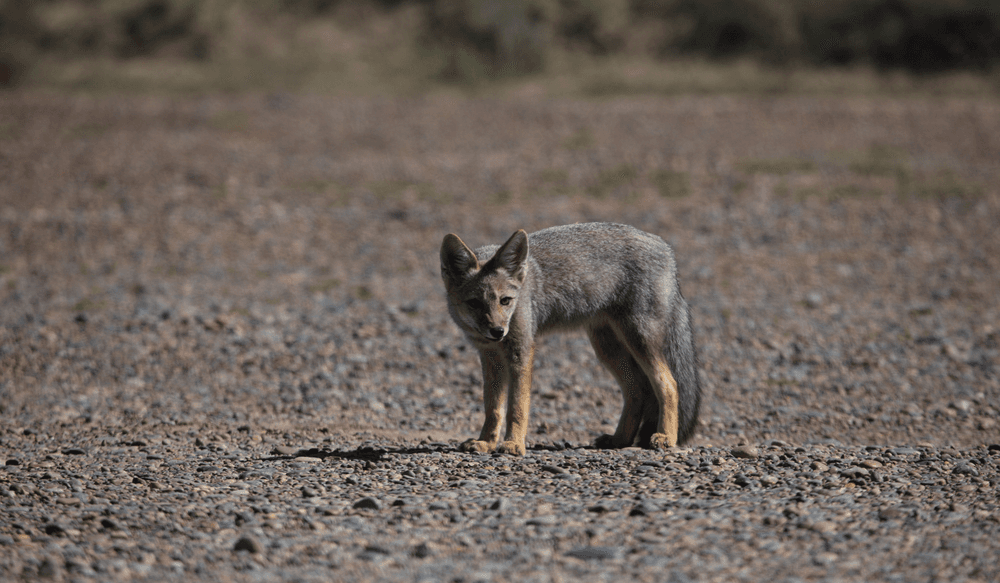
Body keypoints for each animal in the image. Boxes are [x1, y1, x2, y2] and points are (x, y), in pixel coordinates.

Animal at [440, 222, 701, 456]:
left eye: (505, 301)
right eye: (475, 303)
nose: (497, 331)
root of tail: (664, 247)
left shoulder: (521, 351)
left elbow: (517, 407)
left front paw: (513, 444)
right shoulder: (490, 357)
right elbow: (493, 408)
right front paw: (486, 443)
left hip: (639, 339)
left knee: (669, 384)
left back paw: (666, 437)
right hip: (607, 349)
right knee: (637, 389)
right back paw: (619, 440)